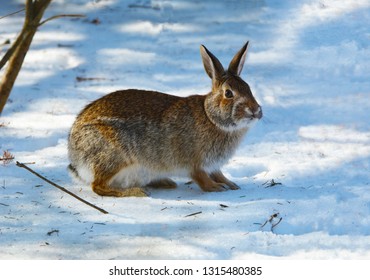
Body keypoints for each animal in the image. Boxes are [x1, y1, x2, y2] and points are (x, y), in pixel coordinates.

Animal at [68, 42, 262, 198]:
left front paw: (230, 184)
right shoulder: (194, 162)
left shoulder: (213, 165)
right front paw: (217, 188)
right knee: (98, 186)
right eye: (228, 93)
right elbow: (201, 178)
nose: (256, 111)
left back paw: (165, 182)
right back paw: (136, 192)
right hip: (114, 156)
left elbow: (219, 173)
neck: (211, 117)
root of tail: (75, 156)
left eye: (248, 88)